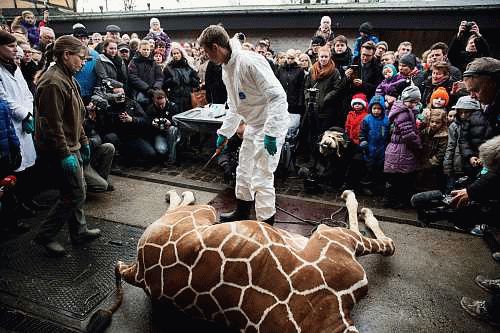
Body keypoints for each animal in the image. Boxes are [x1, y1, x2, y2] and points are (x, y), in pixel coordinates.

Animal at [90, 189, 394, 332]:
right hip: (204, 213)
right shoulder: (333, 238)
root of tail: (137, 271)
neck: (331, 320)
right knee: (184, 205)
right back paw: (179, 193)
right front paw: (357, 202)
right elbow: (387, 243)